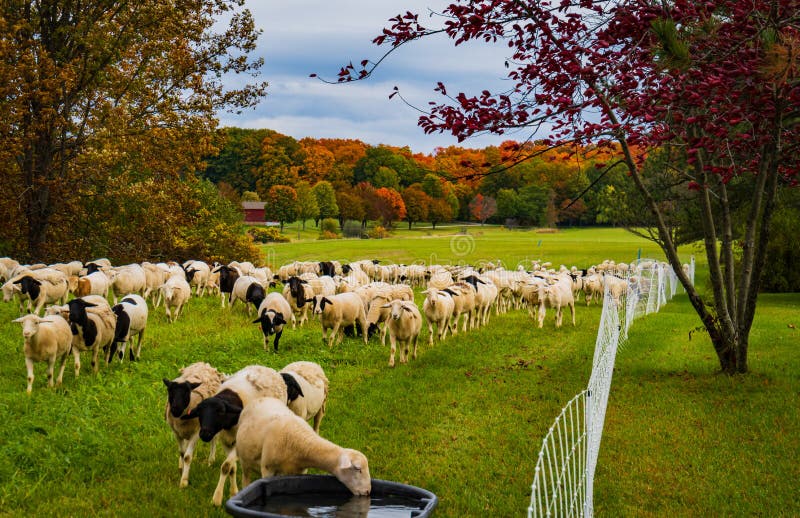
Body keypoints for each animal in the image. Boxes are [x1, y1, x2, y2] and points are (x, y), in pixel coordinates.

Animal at [180, 365, 288, 506]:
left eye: (221, 412)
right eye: (199, 413)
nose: (204, 434)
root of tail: (267, 368)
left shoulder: (238, 443)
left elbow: (226, 466)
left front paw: (217, 499)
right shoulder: (226, 441)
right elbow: (231, 468)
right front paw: (234, 492)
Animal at [235, 397, 371, 496]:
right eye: (358, 469)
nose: (368, 491)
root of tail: (261, 398)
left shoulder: (299, 471)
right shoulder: (268, 468)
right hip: (244, 460)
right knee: (245, 477)